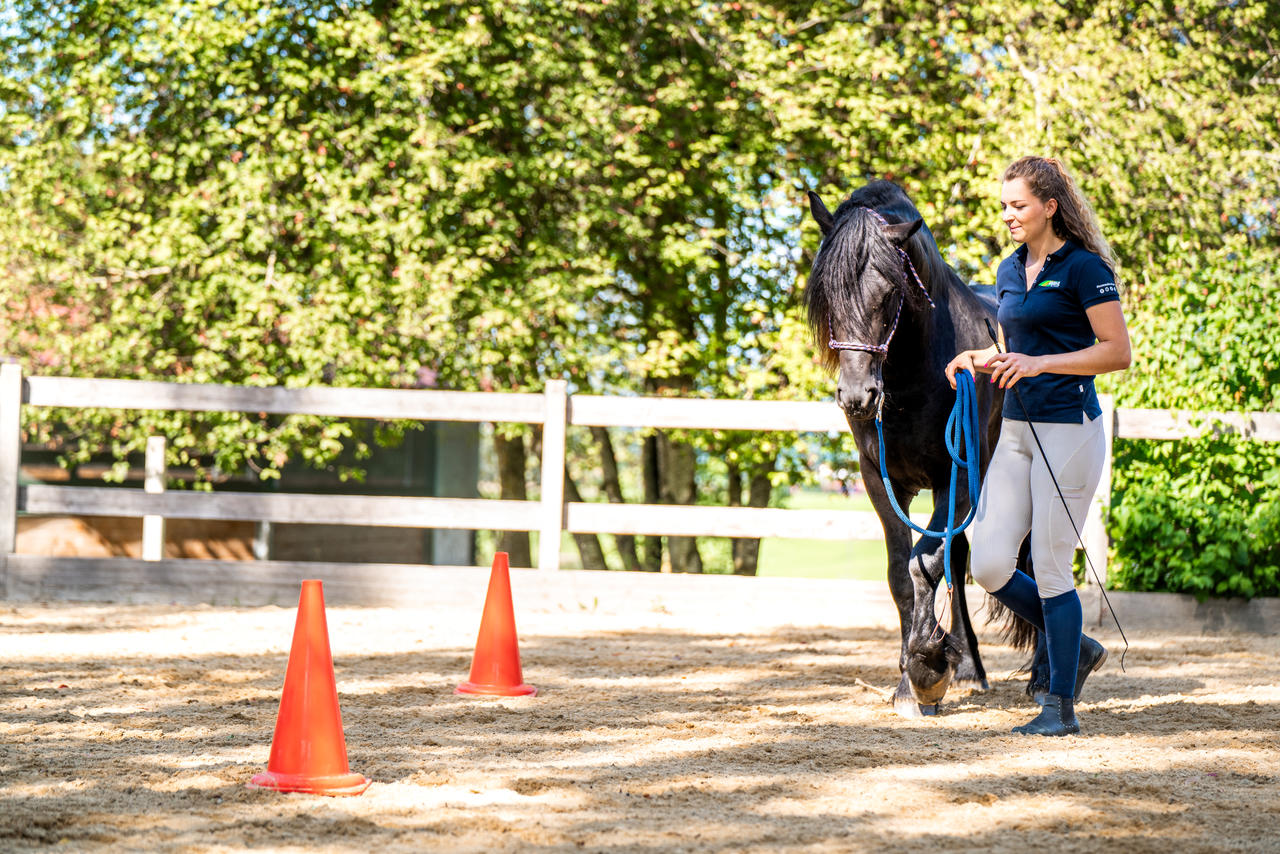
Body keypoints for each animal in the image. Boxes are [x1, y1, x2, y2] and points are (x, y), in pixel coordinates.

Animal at [808, 181, 1039, 722]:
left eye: (890, 293)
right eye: (826, 293)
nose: (857, 396)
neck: (914, 377)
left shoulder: (953, 477)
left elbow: (924, 565)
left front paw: (927, 668)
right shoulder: (879, 480)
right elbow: (900, 571)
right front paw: (909, 677)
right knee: (958, 556)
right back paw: (970, 668)